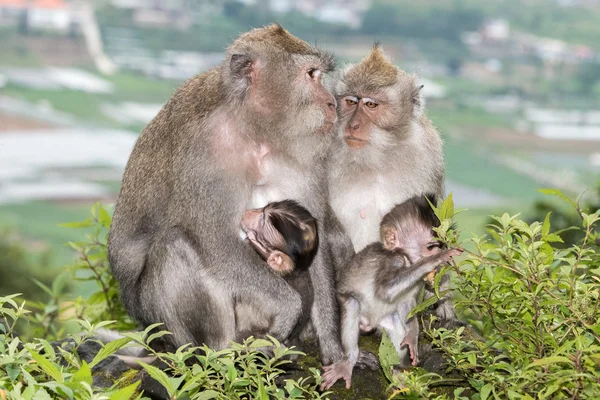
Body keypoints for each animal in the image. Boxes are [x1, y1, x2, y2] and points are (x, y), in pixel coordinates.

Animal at [108, 23, 342, 364]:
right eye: (311, 74)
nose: (332, 103)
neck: (254, 129)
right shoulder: (206, 151)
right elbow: (214, 238)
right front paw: (289, 307)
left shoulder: (304, 154)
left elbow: (315, 237)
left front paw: (336, 351)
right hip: (157, 320)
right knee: (175, 245)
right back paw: (219, 350)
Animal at [322, 195, 462, 390]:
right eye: (430, 247)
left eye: (438, 245)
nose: (438, 255)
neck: (407, 260)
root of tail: (369, 323)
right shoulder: (394, 260)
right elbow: (385, 289)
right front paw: (434, 260)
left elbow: (406, 305)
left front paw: (412, 337)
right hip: (350, 304)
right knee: (352, 304)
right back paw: (349, 361)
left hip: (384, 321)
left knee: (396, 326)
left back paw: (396, 371)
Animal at [328, 44, 454, 322]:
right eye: (350, 102)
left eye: (371, 104)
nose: (353, 124)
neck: (377, 157)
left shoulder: (429, 153)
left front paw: (443, 299)